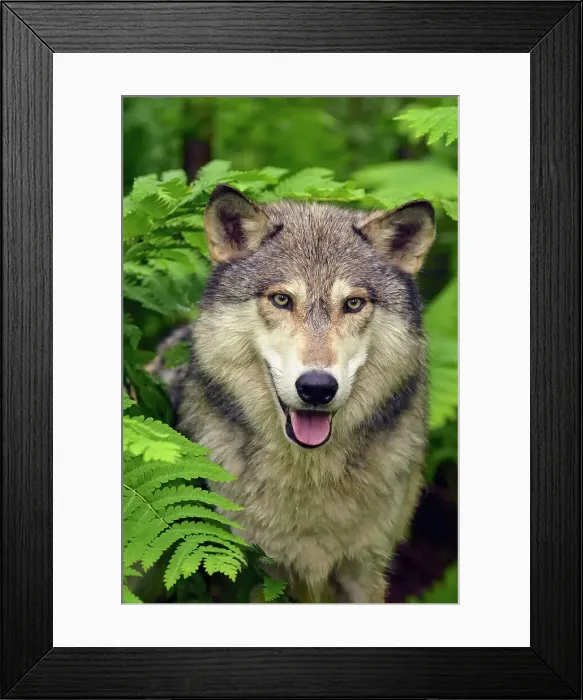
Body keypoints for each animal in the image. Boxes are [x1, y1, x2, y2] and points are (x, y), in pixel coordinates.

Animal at [177, 183, 436, 603]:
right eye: (282, 299)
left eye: (353, 303)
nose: (317, 388)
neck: (308, 474)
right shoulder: (251, 574)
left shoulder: (365, 570)